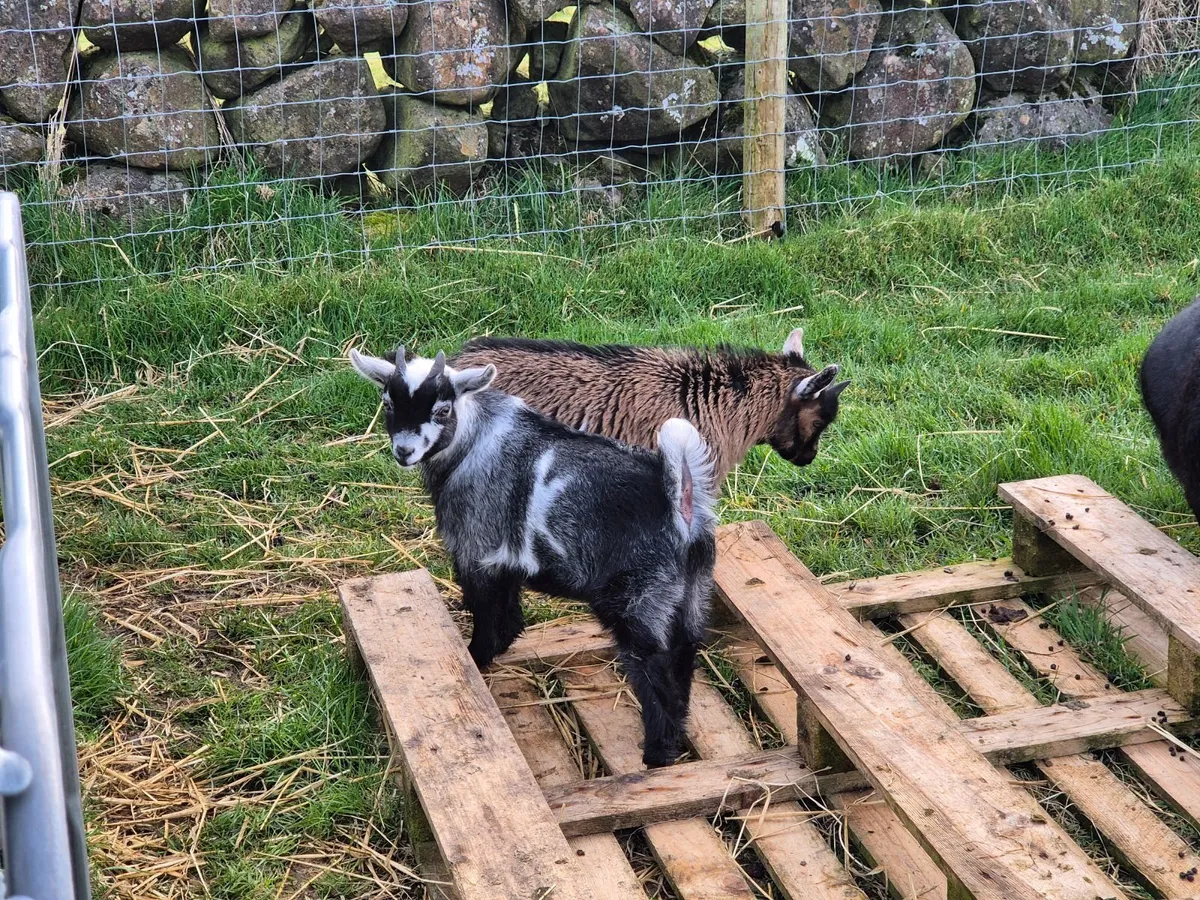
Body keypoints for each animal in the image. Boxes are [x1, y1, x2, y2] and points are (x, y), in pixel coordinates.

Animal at [351, 346, 718, 767]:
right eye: (388, 402)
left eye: (442, 410)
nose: (405, 451)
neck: (472, 441)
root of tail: (680, 503)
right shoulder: (507, 559)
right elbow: (510, 618)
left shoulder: (475, 549)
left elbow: (486, 615)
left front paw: (475, 659)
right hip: (693, 590)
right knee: (684, 653)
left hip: (641, 597)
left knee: (654, 667)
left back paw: (657, 754)